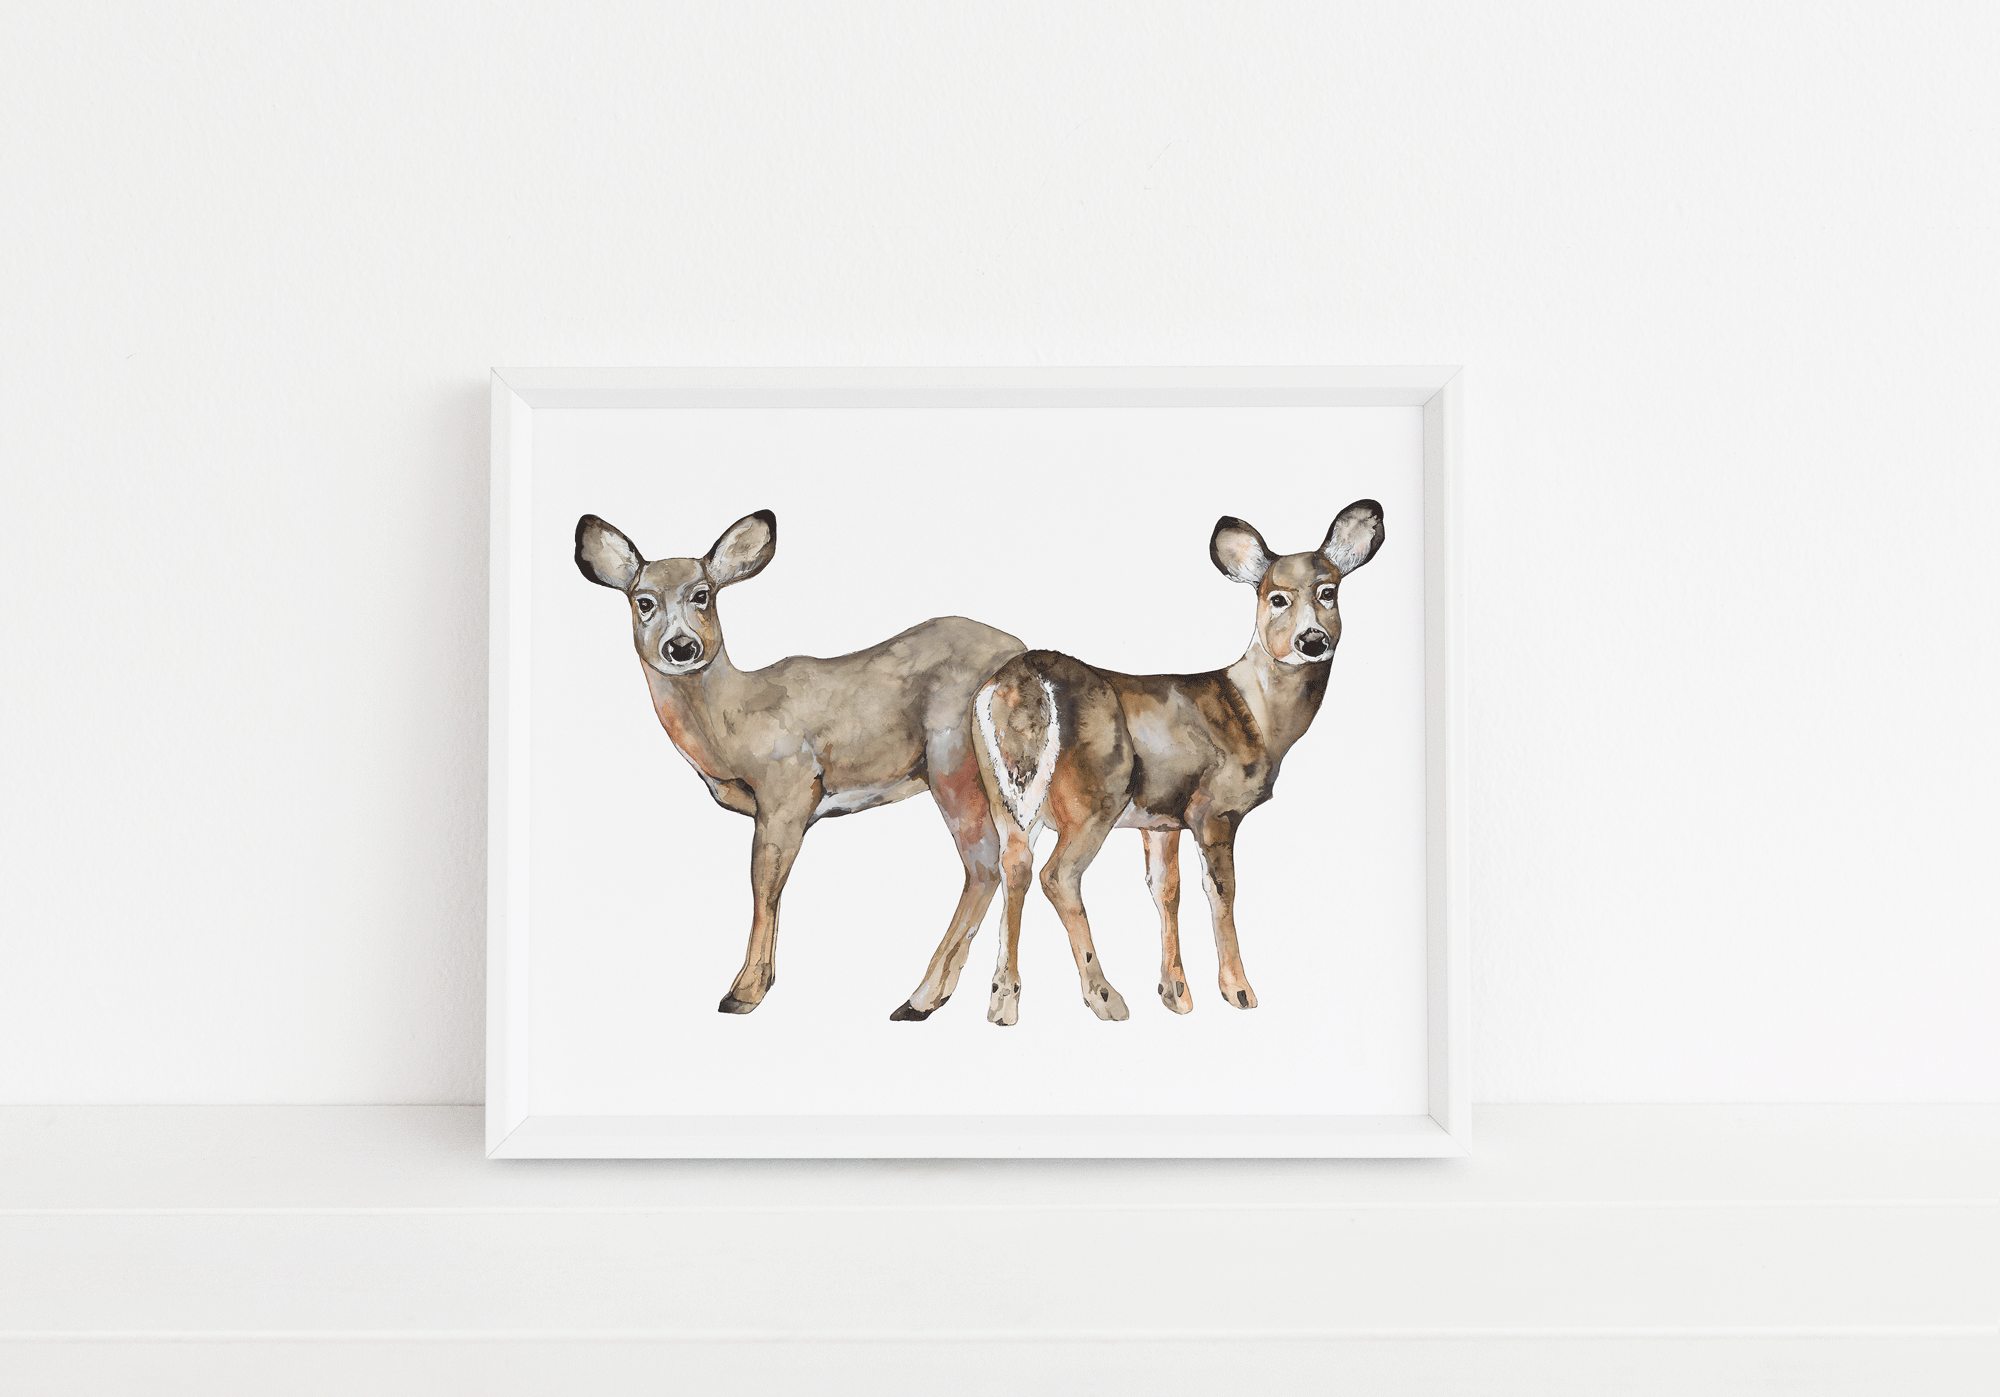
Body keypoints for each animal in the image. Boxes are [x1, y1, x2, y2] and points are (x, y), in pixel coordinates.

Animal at [574, 510, 1025, 1016]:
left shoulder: (789, 790)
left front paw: (744, 992)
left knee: (985, 861)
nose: (682, 647)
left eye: (702, 594)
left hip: (953, 759)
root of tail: (1020, 653)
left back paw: (920, 999)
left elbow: (764, 886)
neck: (733, 723)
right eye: (644, 600)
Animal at [936, 501, 1384, 1026]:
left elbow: (1165, 890)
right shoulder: (1213, 809)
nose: (1312, 640)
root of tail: (1020, 680)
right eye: (1277, 598)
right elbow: (1222, 891)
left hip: (1007, 797)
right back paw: (1104, 997)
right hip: (1097, 793)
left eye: (1328, 591)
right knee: (1058, 876)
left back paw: (1003, 1000)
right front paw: (1237, 990)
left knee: (1013, 868)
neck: (1256, 714)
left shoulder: (1162, 818)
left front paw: (1175, 993)